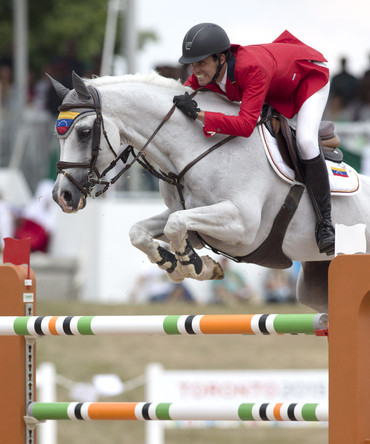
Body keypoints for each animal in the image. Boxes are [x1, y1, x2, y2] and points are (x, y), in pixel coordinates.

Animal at [49, 71, 370, 312]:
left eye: (84, 132)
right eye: (58, 135)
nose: (62, 196)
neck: (196, 147)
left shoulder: (243, 227)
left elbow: (175, 225)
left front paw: (193, 265)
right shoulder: (189, 216)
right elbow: (143, 230)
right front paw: (177, 263)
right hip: (317, 281)